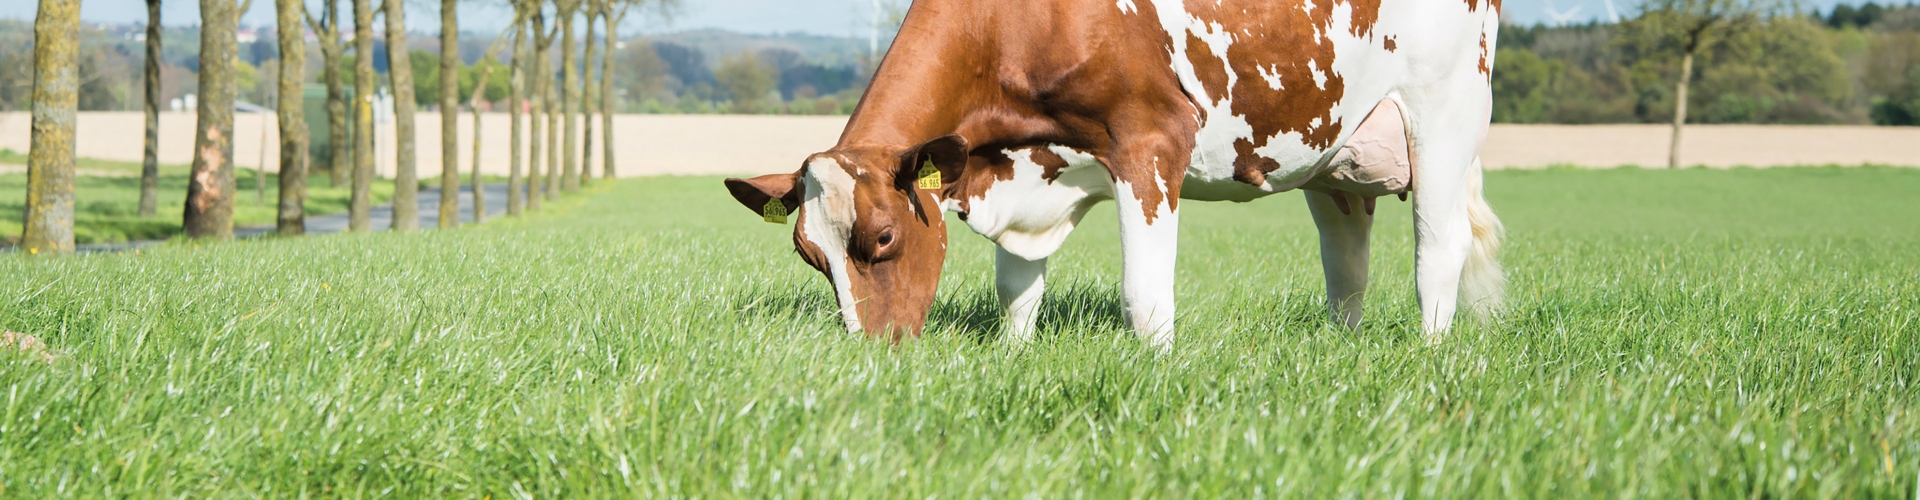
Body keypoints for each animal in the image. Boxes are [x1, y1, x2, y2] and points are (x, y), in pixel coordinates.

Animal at [724, 0, 1507, 346]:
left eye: (883, 238)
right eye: (810, 255)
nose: (873, 355)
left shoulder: (1150, 141)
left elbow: (1145, 297)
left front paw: (1156, 373)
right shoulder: (1024, 168)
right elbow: (1016, 288)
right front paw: (1015, 354)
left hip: (1444, 110)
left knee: (1437, 250)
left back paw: (1431, 353)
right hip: (1335, 148)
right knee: (1348, 261)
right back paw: (1343, 346)